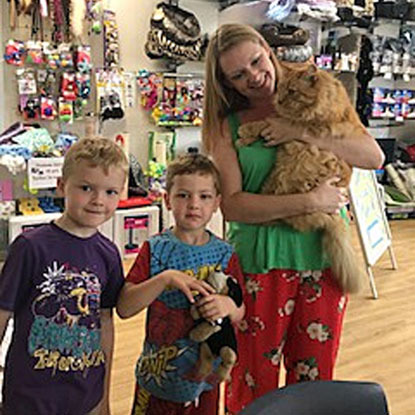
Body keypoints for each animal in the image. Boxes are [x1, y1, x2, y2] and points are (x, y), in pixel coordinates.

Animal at [237, 62, 368, 296]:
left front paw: (246, 131)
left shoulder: (308, 125)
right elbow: (269, 119)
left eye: (292, 91)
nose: (279, 101)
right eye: (280, 89)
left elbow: (271, 120)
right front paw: (247, 135)